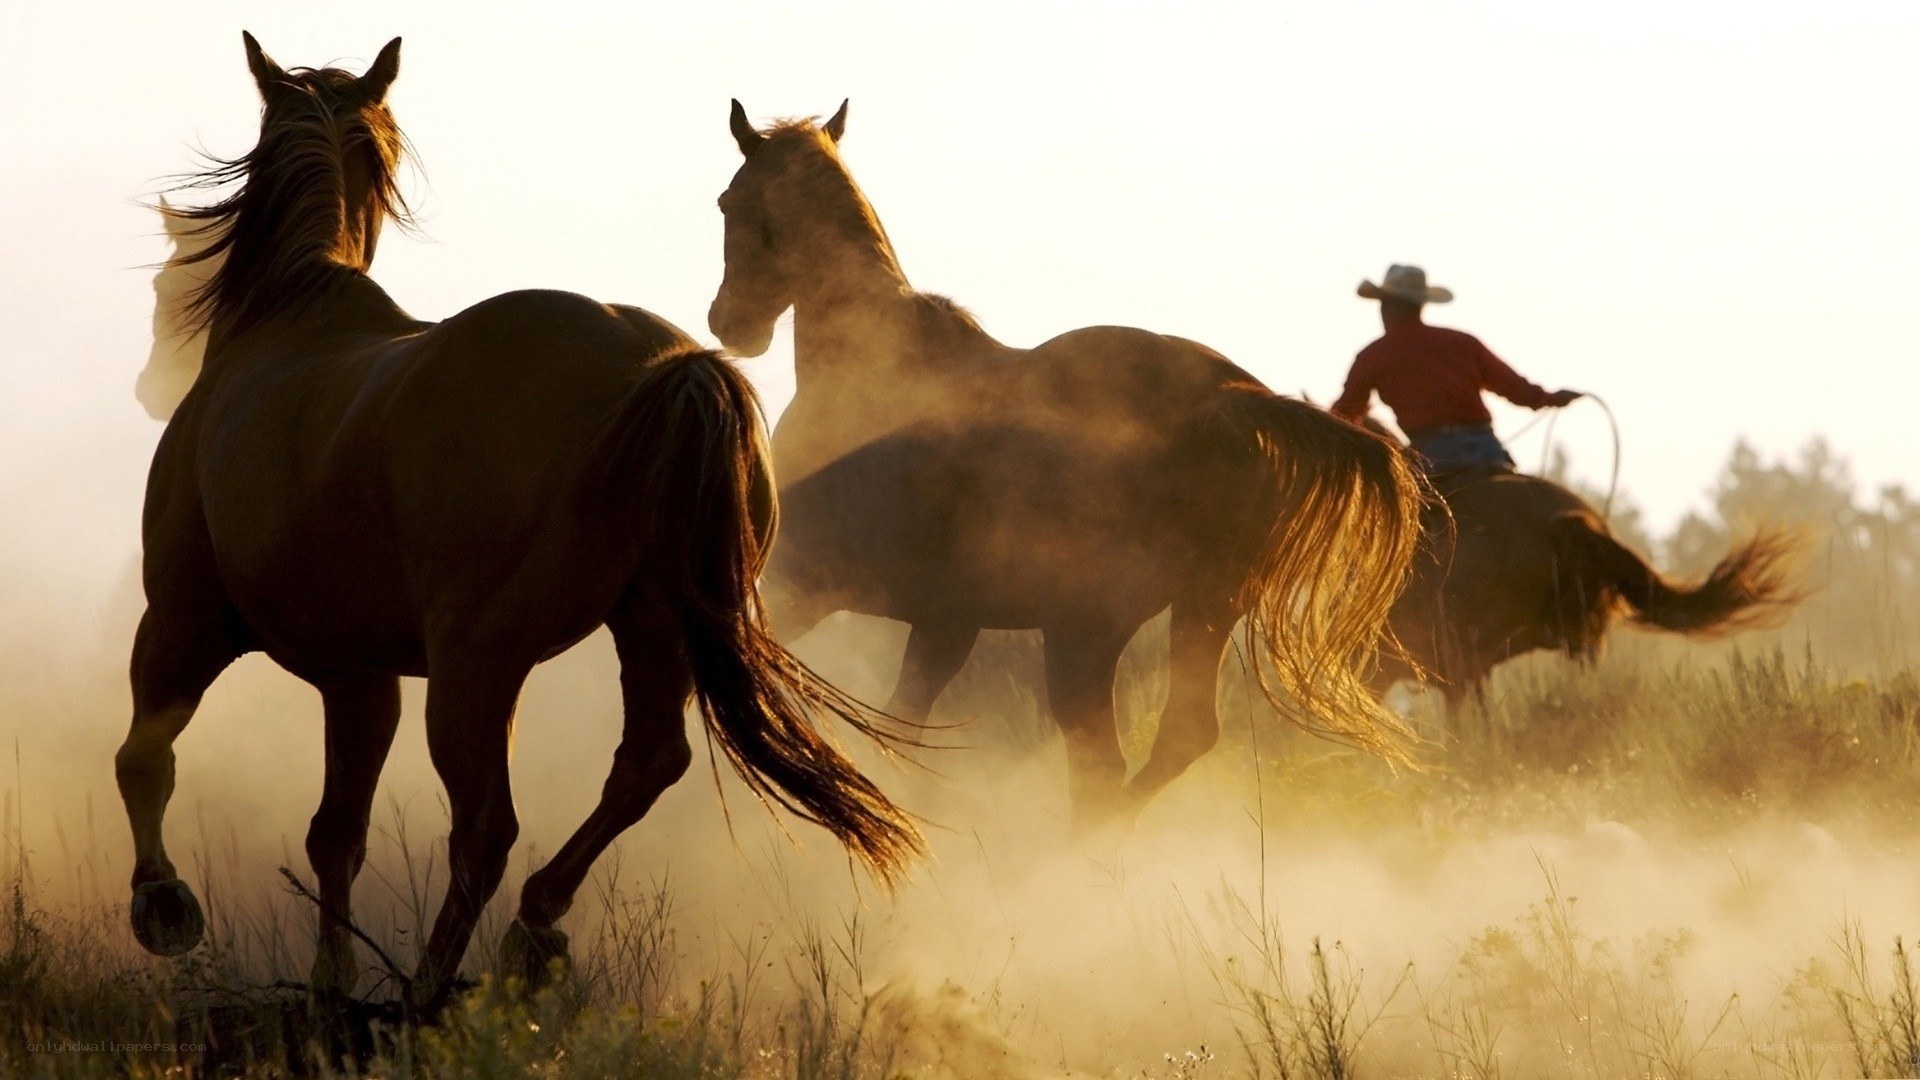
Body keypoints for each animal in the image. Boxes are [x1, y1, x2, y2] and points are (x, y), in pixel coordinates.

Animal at [119, 36, 920, 1010]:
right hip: (650, 630)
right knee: (643, 766)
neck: (285, 320)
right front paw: (331, 983)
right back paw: (532, 932)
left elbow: (144, 759)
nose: (149, 384)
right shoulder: (359, 678)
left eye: (170, 282)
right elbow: (334, 832)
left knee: (486, 828)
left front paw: (165, 906)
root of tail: (668, 367)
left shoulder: (182, 620)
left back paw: (431, 988)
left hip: (477, 666)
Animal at [706, 102, 1428, 828]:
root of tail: (1227, 398)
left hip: (1085, 633)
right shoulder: (946, 621)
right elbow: (902, 724)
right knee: (1175, 739)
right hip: (1200, 609)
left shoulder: (801, 585)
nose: (728, 321)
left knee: (1102, 763)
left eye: (727, 201)